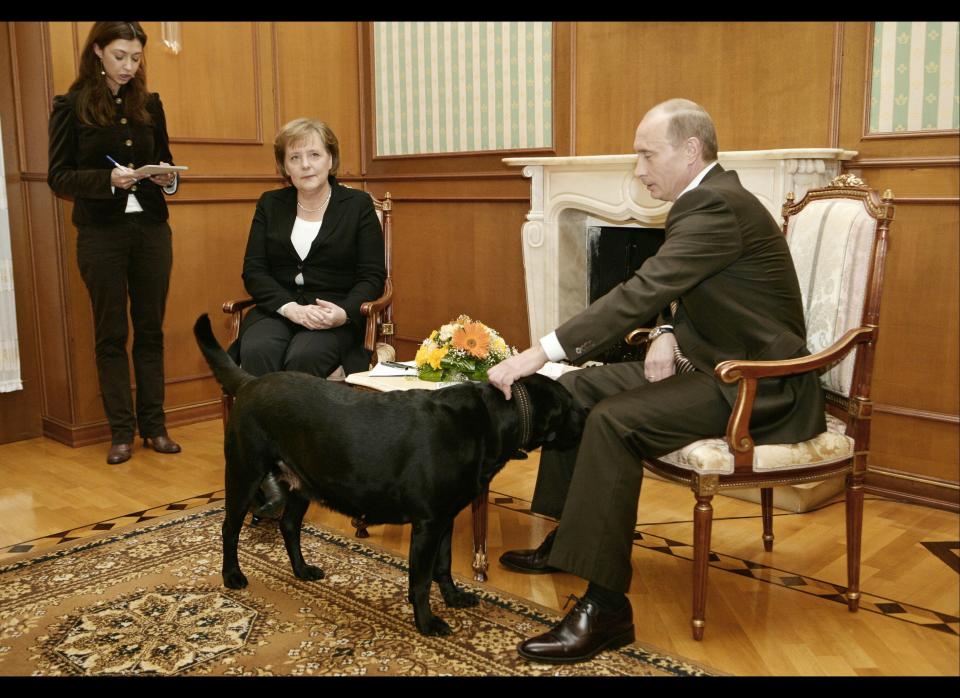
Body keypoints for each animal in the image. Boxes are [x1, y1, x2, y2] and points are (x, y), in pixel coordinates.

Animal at [195, 316, 584, 636]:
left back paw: (302, 570)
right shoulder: (427, 524)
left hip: (302, 483)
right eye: (570, 407)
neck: (488, 421)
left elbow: (444, 566)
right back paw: (232, 575)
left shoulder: (445, 518)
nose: (587, 416)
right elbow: (421, 580)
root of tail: (250, 381)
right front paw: (427, 622)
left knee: (289, 526)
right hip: (244, 473)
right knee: (229, 528)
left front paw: (454, 598)